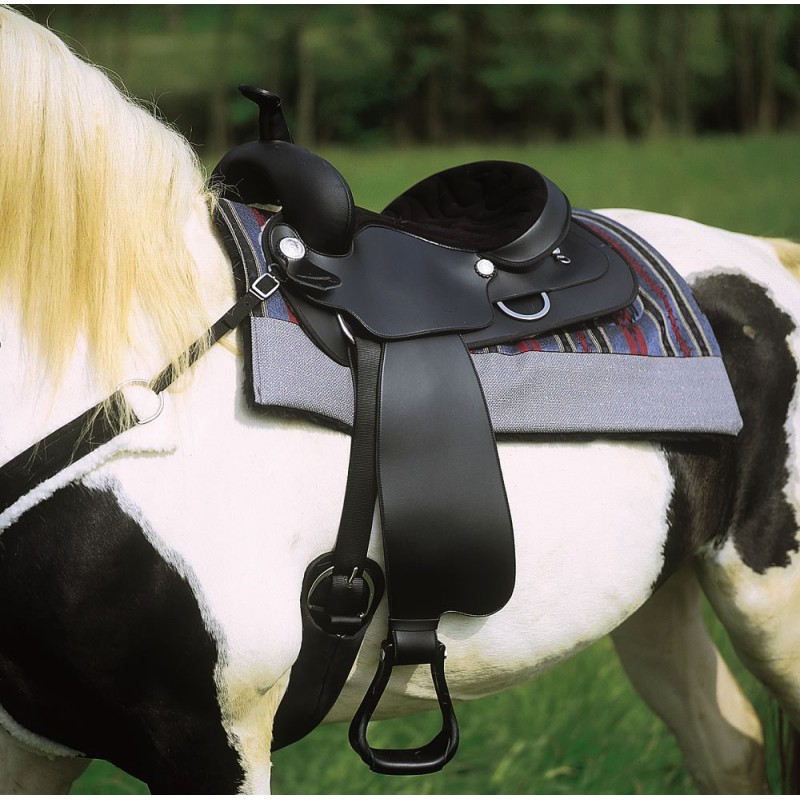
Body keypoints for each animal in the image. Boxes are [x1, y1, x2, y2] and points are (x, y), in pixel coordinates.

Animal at [1, 7, 799, 794]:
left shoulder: (210, 744)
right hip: (657, 601)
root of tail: (766, 253)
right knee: (729, 748)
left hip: (769, 604)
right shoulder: (36, 745)